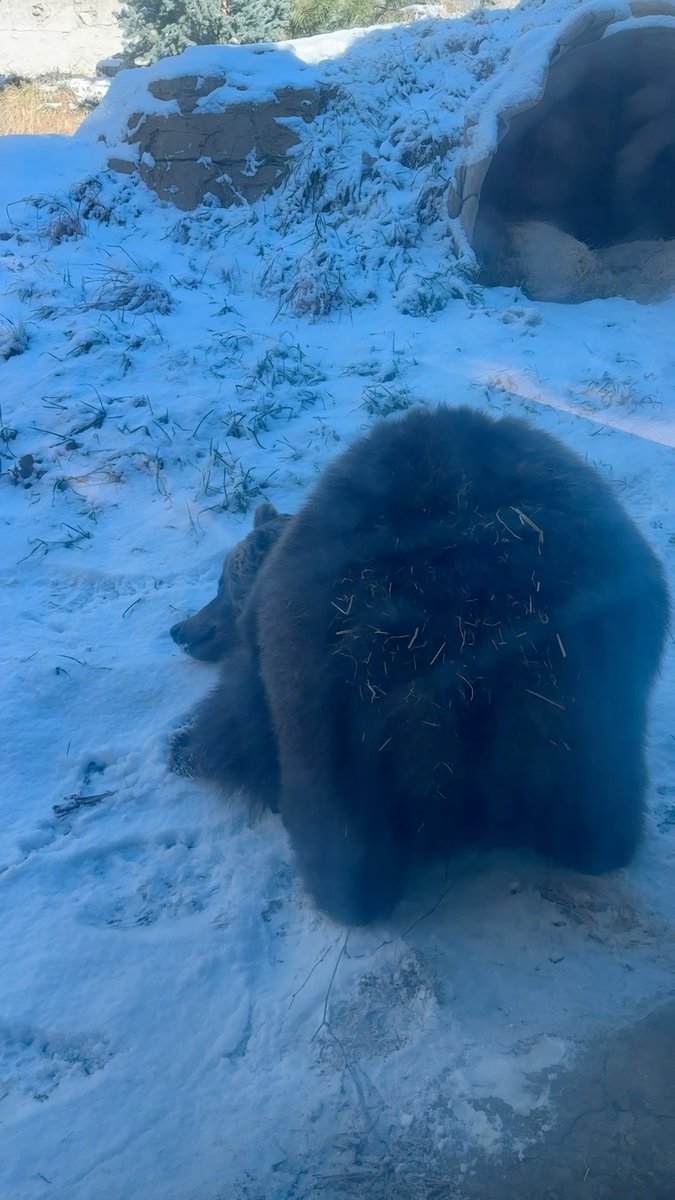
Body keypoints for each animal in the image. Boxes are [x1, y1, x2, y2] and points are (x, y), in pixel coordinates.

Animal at [170, 405, 670, 927]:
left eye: (220, 583)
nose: (180, 630)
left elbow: (235, 721)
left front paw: (187, 747)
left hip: (330, 698)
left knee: (338, 832)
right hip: (590, 686)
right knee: (601, 795)